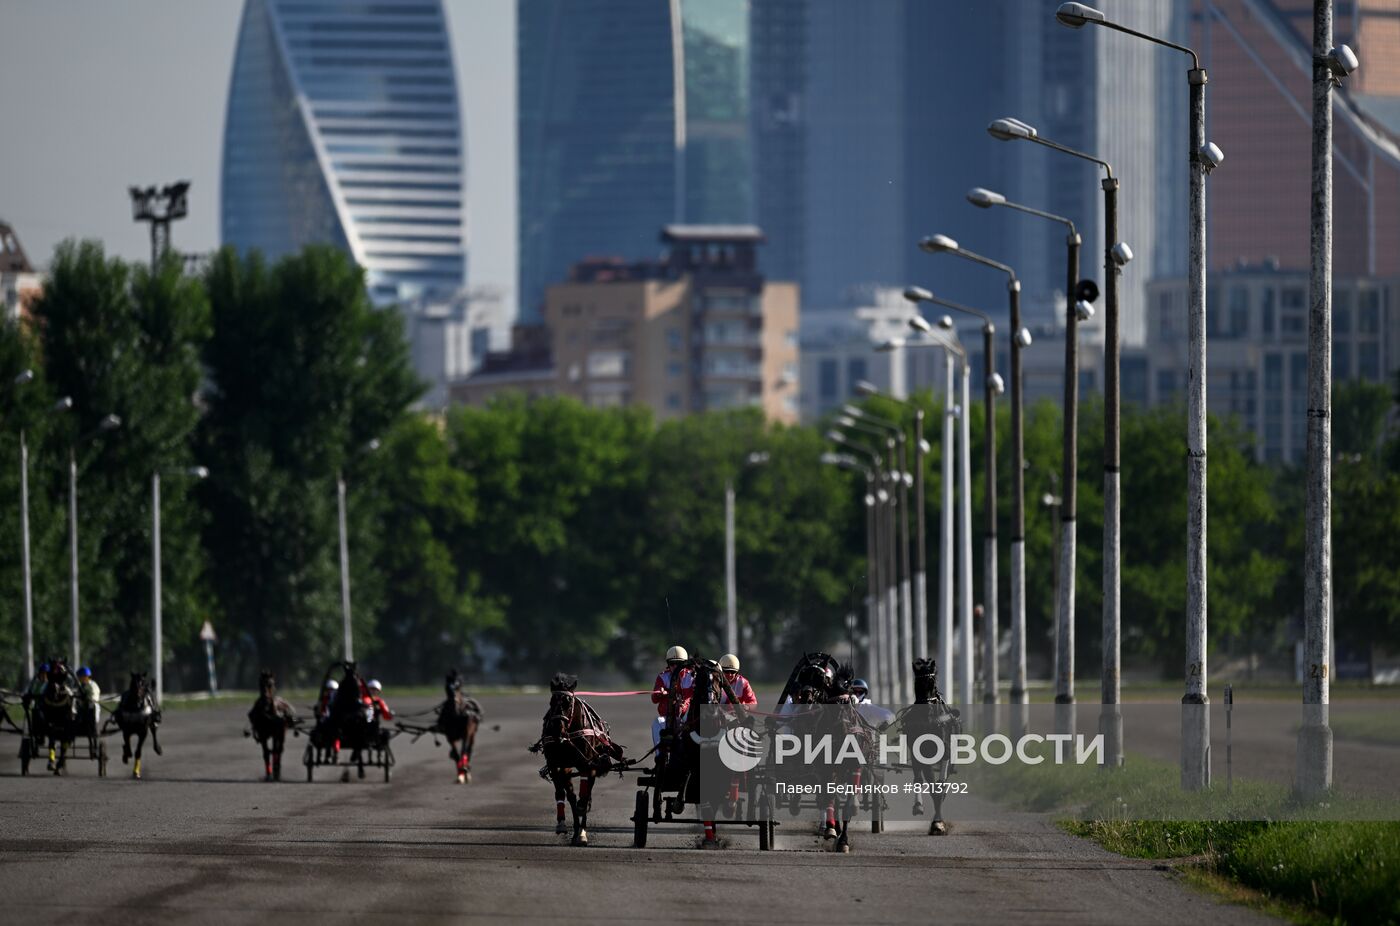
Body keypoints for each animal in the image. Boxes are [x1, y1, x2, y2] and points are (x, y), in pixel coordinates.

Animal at [532, 672, 627, 846]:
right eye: (551, 702)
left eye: (568, 703)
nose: (557, 729)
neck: (568, 734)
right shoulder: (556, 764)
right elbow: (561, 793)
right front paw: (562, 824)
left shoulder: (586, 763)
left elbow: (584, 796)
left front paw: (582, 830)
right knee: (572, 796)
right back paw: (576, 830)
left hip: (593, 764)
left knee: (586, 793)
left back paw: (581, 831)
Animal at [890, 652, 957, 834]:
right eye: (917, 684)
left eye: (932, 682)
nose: (926, 710)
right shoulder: (918, 753)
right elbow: (923, 780)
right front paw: (920, 808)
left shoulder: (945, 750)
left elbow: (939, 785)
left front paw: (938, 823)